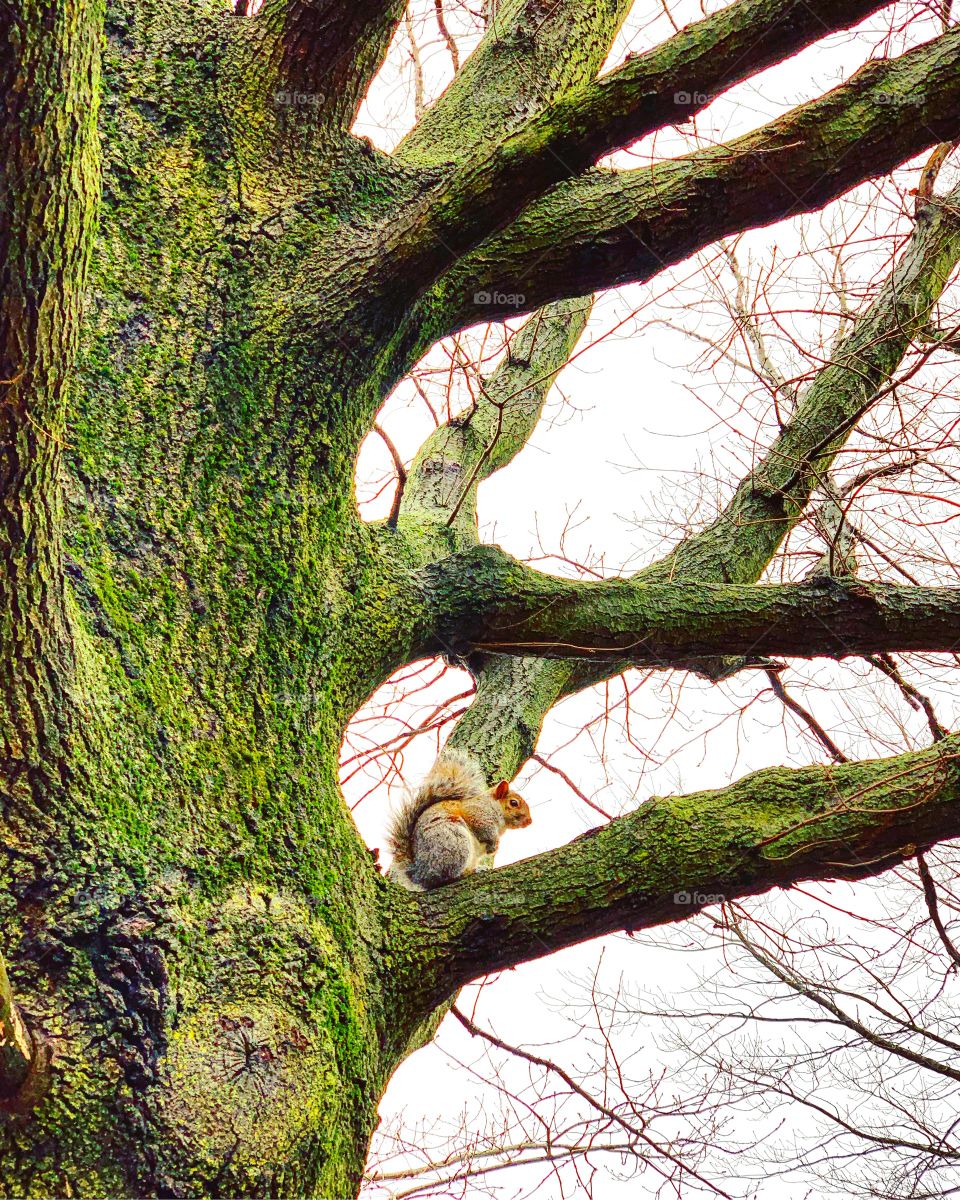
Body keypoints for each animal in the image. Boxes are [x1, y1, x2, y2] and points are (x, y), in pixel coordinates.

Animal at [386, 748, 532, 891]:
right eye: (514, 803)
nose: (530, 821)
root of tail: (421, 875)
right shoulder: (478, 813)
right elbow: (484, 828)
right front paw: (494, 843)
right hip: (454, 841)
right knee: (446, 878)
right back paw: (469, 872)